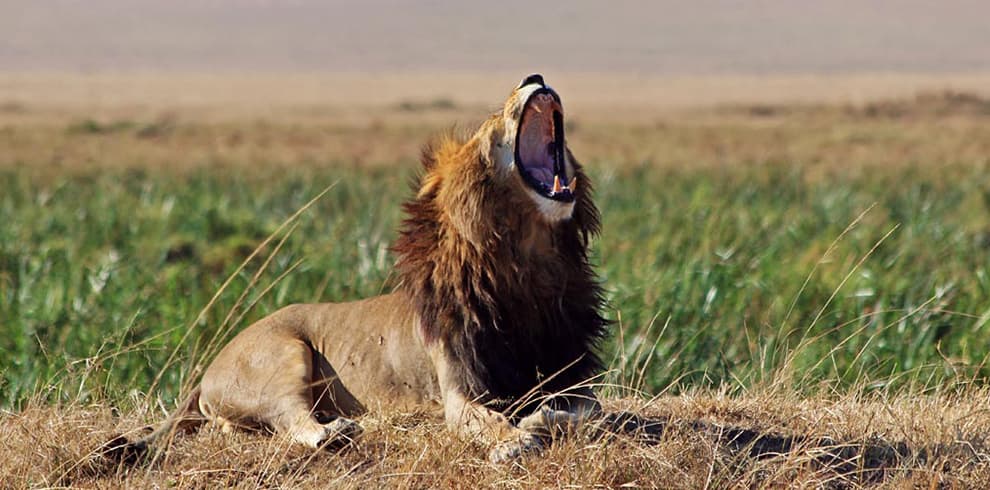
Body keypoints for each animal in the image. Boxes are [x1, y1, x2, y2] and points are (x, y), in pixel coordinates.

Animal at [107, 74, 610, 463]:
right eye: (492, 122)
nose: (534, 77)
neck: (528, 265)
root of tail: (207, 369)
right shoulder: (458, 392)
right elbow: (486, 419)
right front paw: (514, 439)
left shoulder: (575, 371)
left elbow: (592, 410)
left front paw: (541, 417)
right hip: (284, 355)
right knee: (292, 417)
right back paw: (334, 431)